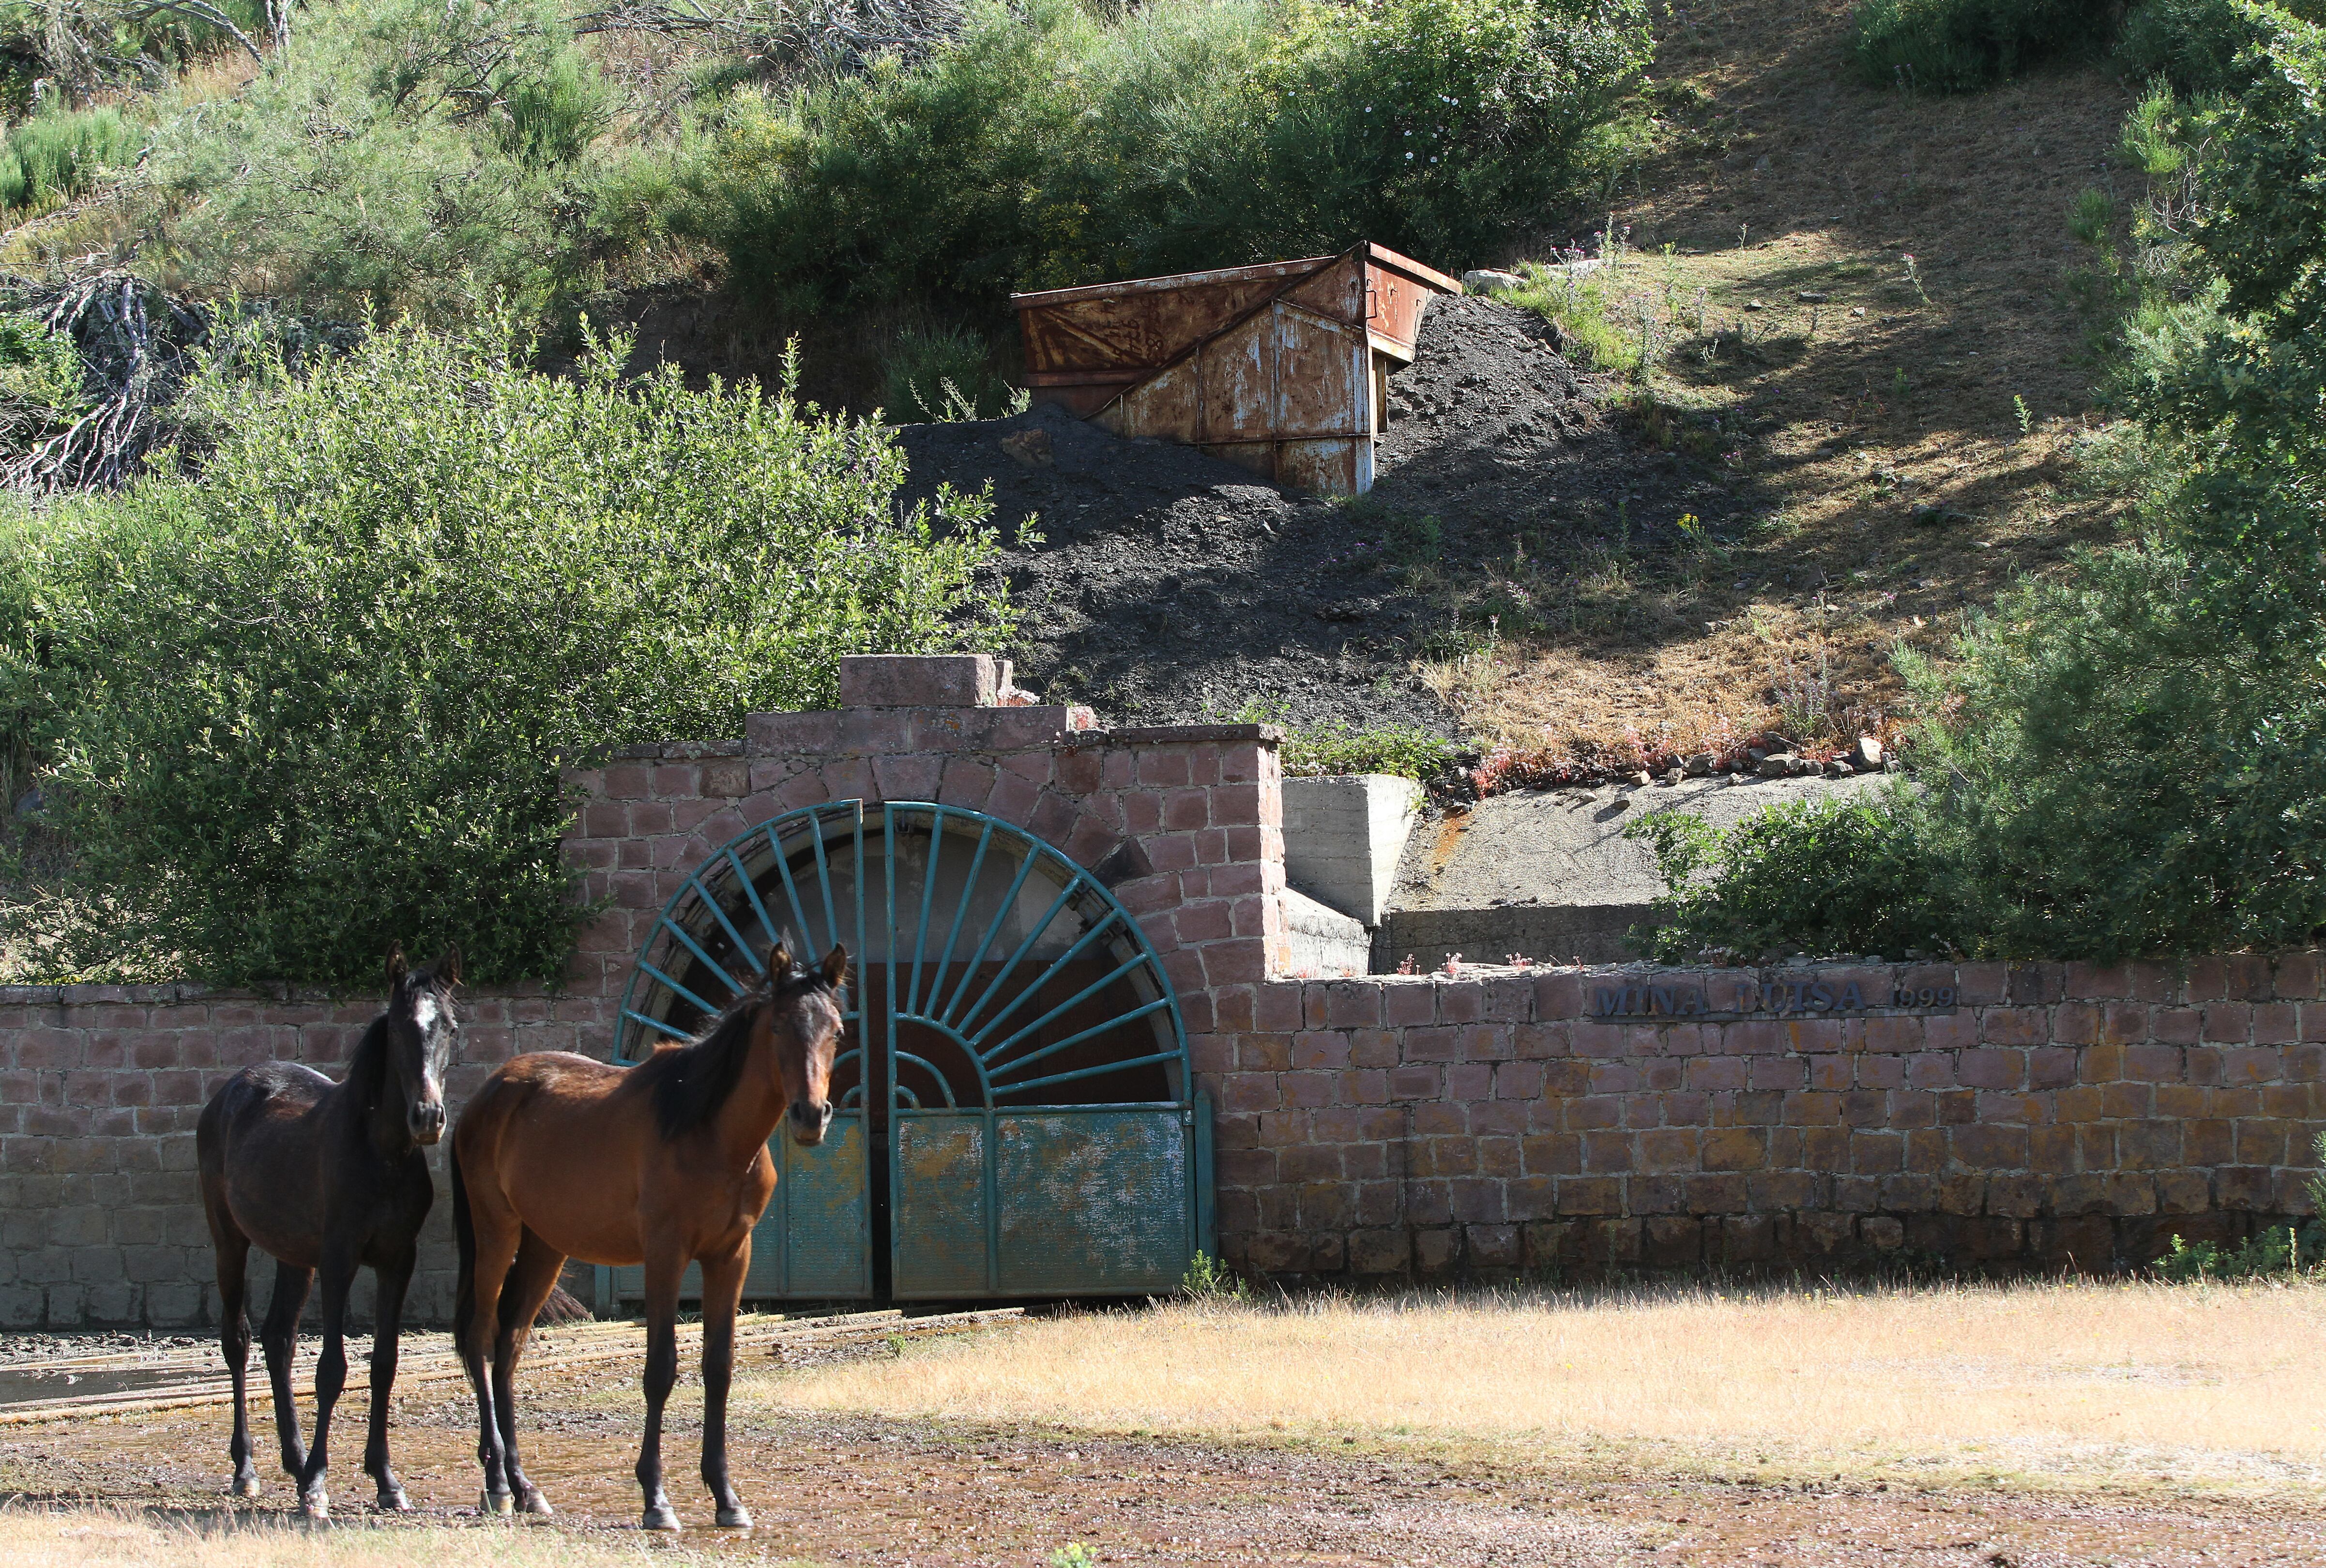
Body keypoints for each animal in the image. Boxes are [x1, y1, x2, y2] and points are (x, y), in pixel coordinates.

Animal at [198, 940, 460, 1517]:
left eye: (450, 1027)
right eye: (398, 1028)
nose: (428, 1117)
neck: (382, 1154)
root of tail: (229, 1091)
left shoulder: (397, 1261)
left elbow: (383, 1363)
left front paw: (386, 1479)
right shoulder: (340, 1260)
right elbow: (332, 1369)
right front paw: (319, 1483)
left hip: (295, 1256)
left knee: (278, 1339)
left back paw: (294, 1462)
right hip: (229, 1241)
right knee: (239, 1340)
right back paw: (248, 1469)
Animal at [446, 935, 847, 1517]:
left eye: (835, 1030)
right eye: (777, 1026)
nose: (810, 1115)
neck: (709, 1131)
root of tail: (489, 1092)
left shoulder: (731, 1255)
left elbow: (719, 1367)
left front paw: (726, 1495)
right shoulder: (665, 1254)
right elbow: (660, 1369)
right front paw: (656, 1497)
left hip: (545, 1247)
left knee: (510, 1347)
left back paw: (525, 1487)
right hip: (495, 1234)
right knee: (480, 1338)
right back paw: (497, 1482)